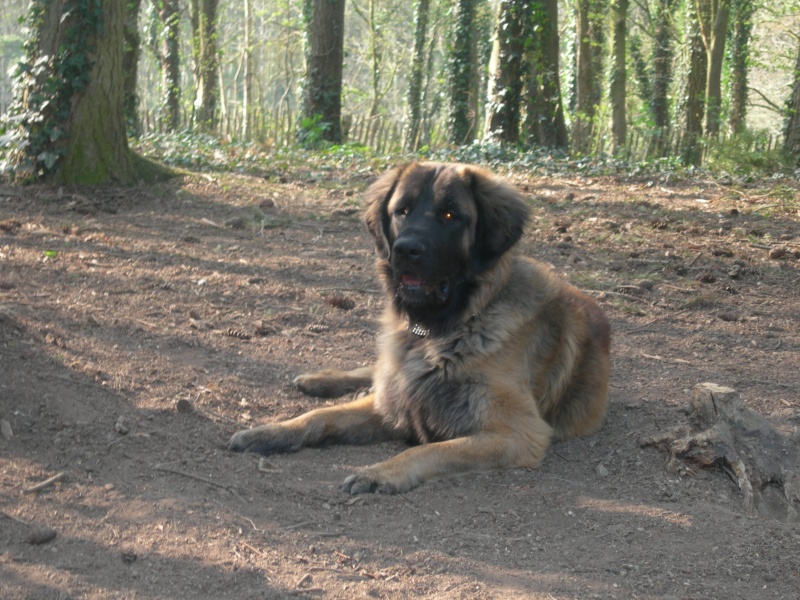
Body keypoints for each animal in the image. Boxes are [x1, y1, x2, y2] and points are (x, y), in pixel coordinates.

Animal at [228, 162, 608, 494]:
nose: (405, 250)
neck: (440, 331)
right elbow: (321, 416)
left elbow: (427, 449)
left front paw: (379, 473)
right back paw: (319, 379)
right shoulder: (392, 400)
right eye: (403, 211)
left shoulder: (517, 434)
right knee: (371, 371)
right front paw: (271, 431)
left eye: (450, 215)